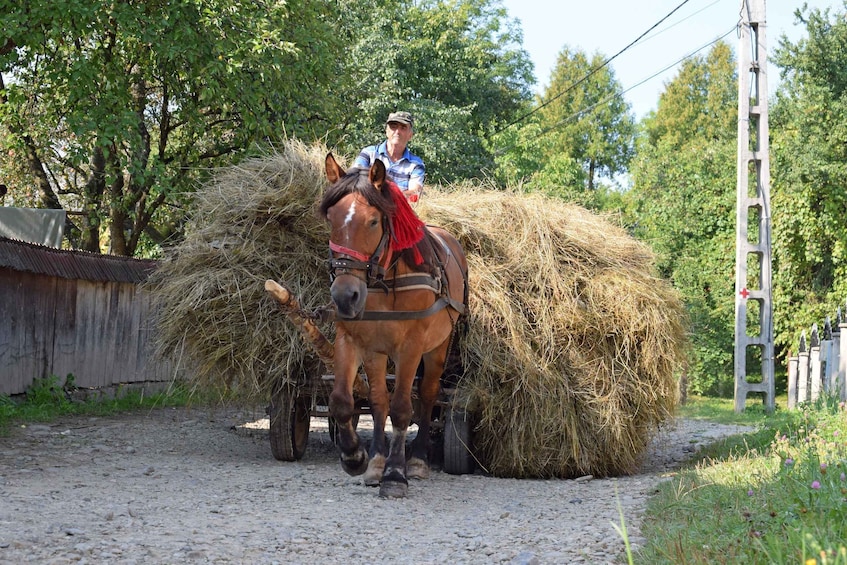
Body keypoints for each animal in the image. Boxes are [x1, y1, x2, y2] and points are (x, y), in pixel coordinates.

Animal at [320, 152, 470, 496]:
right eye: (331, 218)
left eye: (374, 221)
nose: (345, 295)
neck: (383, 280)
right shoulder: (354, 340)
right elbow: (349, 401)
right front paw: (358, 458)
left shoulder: (411, 346)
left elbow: (402, 407)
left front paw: (395, 473)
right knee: (380, 402)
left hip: (438, 347)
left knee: (427, 395)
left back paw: (417, 460)